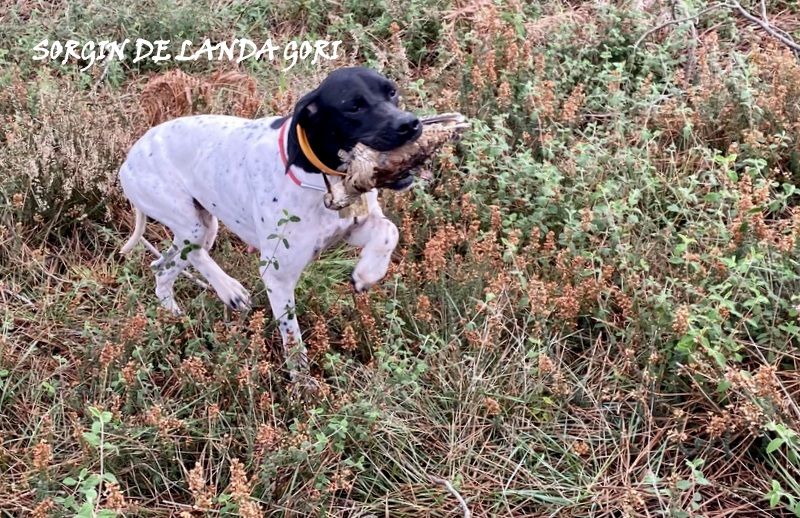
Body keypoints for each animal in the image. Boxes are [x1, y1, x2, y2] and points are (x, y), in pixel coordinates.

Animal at [119, 68, 422, 370]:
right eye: (354, 106)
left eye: (392, 92)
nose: (410, 124)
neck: (321, 177)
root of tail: (128, 161)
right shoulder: (277, 277)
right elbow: (293, 340)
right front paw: (302, 380)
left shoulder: (353, 229)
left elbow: (389, 231)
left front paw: (368, 272)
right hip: (190, 224)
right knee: (190, 256)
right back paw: (229, 291)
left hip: (204, 227)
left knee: (163, 268)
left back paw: (176, 314)